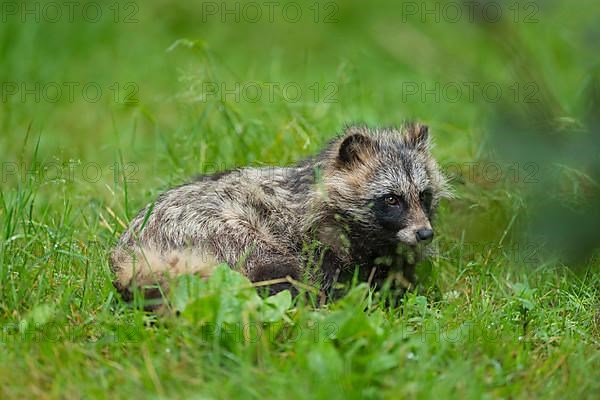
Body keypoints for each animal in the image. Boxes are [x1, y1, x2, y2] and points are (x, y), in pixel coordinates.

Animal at [111, 124, 450, 304]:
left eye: (424, 195)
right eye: (391, 199)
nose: (425, 233)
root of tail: (131, 252)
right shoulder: (314, 243)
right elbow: (329, 281)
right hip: (216, 231)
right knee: (273, 270)